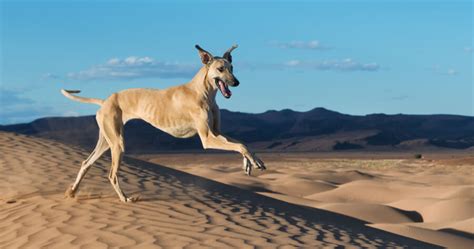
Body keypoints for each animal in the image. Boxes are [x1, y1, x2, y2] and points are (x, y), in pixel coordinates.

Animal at [61, 44, 264, 202]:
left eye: (232, 67)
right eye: (221, 69)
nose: (236, 82)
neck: (203, 91)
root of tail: (105, 101)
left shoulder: (216, 132)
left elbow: (242, 143)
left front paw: (252, 162)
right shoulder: (207, 138)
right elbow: (239, 146)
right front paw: (252, 162)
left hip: (107, 140)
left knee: (85, 163)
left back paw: (72, 191)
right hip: (117, 143)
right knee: (111, 174)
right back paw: (125, 198)